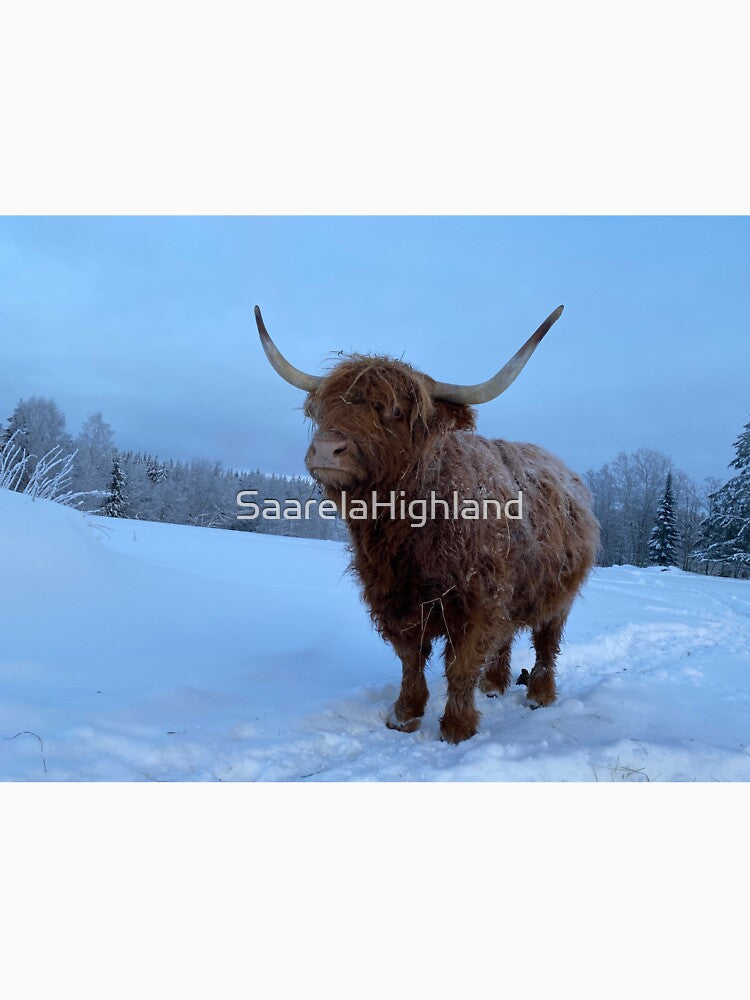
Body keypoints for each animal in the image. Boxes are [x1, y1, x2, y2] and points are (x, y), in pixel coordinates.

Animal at [255, 304, 599, 743]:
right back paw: (494, 685)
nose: (326, 449)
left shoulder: (477, 601)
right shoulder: (393, 596)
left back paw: (539, 694)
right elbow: (410, 657)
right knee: (506, 637)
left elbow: (461, 664)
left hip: (558, 594)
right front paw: (404, 715)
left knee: (545, 641)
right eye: (321, 410)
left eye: (394, 411)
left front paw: (456, 728)